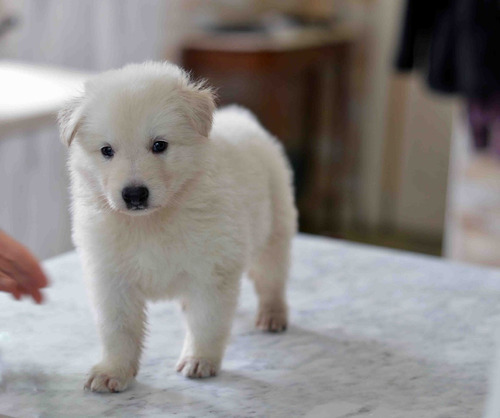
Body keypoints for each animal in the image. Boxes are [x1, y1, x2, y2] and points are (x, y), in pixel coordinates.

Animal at [60, 61, 298, 392]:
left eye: (159, 145)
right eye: (107, 151)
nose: (134, 194)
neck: (151, 222)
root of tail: (241, 118)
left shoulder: (211, 272)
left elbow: (206, 322)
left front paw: (199, 360)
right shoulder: (111, 277)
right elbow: (118, 330)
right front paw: (112, 371)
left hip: (274, 227)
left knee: (272, 279)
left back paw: (272, 315)